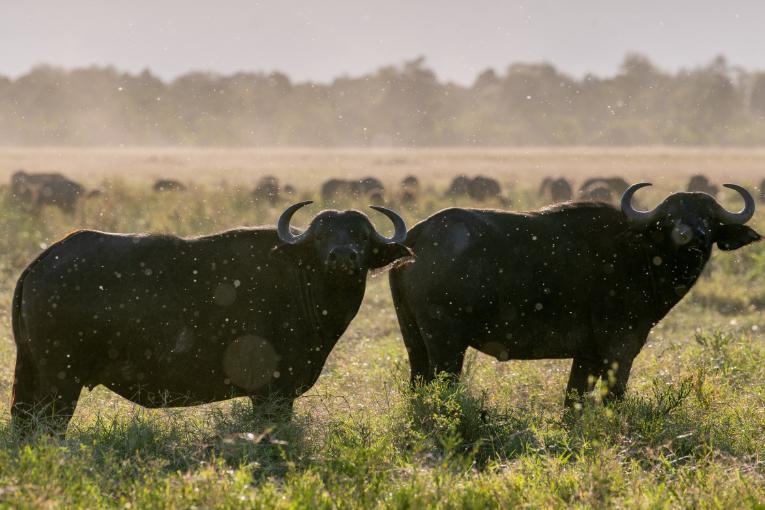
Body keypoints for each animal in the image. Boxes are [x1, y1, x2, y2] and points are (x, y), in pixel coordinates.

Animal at [10, 201, 412, 432]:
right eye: (321, 236)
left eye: (361, 236)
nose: (342, 256)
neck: (302, 278)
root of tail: (43, 261)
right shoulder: (272, 395)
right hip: (61, 380)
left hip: (30, 372)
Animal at [390, 183, 760, 406]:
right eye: (669, 218)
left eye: (708, 217)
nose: (690, 236)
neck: (639, 254)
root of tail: (415, 237)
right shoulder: (620, 347)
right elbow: (614, 397)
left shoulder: (587, 355)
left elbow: (574, 400)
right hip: (446, 343)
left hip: (414, 341)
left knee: (417, 383)